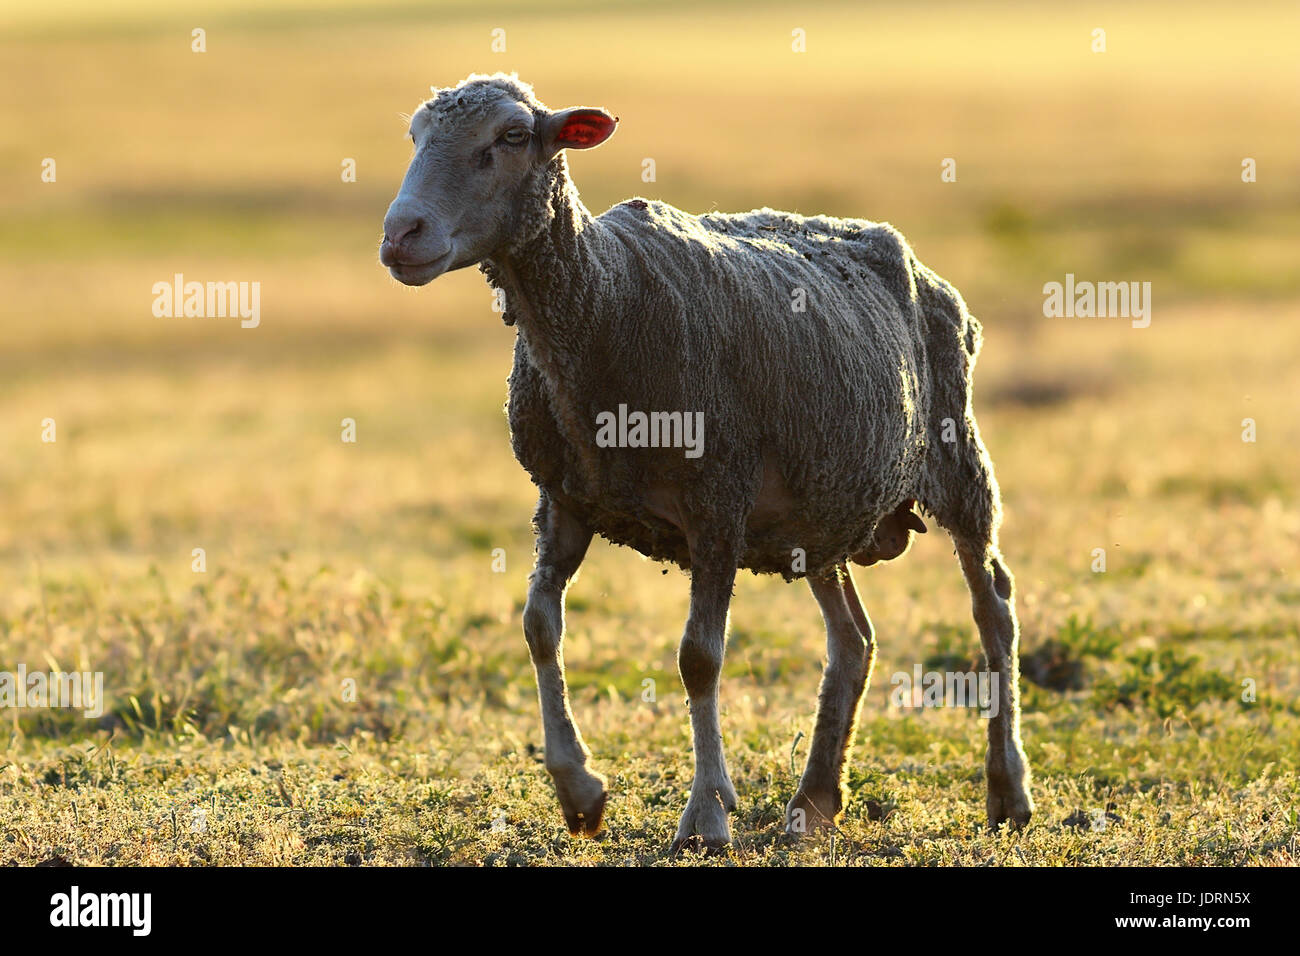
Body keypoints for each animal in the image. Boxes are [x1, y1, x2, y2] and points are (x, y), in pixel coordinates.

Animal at [380, 72, 1034, 852]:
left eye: (511, 137)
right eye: (414, 136)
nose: (401, 234)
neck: (604, 302)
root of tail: (939, 286)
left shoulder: (718, 497)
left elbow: (699, 657)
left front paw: (705, 816)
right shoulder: (564, 498)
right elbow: (539, 625)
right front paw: (580, 792)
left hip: (956, 460)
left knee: (993, 605)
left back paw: (1008, 793)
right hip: (824, 507)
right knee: (854, 641)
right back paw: (812, 803)